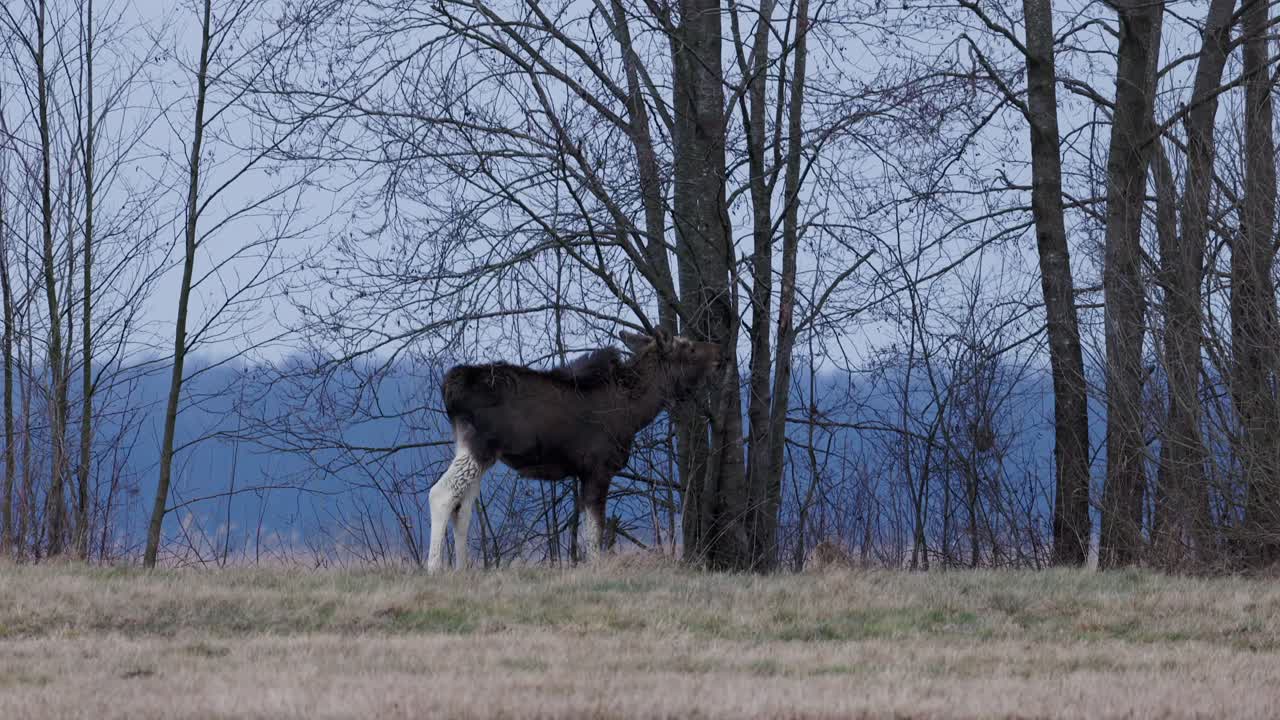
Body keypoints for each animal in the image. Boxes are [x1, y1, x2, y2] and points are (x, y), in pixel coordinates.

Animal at [426, 329, 721, 573]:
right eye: (689, 347)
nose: (718, 353)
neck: (637, 412)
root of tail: (449, 388)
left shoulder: (585, 473)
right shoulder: (598, 469)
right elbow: (595, 530)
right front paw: (596, 569)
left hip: (473, 448)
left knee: (463, 507)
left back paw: (461, 570)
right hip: (481, 445)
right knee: (442, 493)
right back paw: (434, 568)